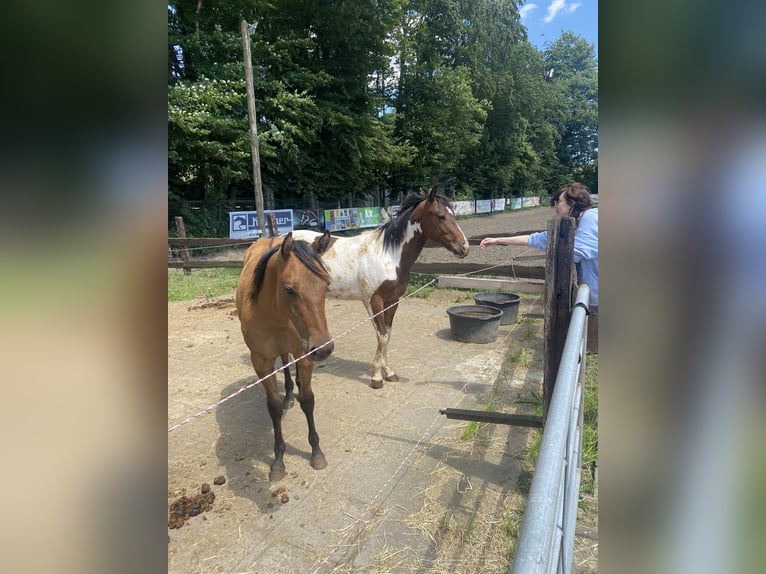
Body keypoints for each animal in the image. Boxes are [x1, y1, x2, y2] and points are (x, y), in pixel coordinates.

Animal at [237, 232, 336, 484]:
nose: (324, 349)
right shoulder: (261, 363)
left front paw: (317, 454)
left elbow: (308, 400)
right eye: (289, 289)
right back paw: (289, 395)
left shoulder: (305, 354)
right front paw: (278, 461)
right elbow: (273, 407)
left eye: (326, 285)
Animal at [294, 187, 472, 390]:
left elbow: (388, 334)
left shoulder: (392, 301)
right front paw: (377, 377)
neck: (388, 255)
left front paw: (389, 372)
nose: (464, 246)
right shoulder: (375, 301)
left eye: (453, 214)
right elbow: (382, 336)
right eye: (441, 216)